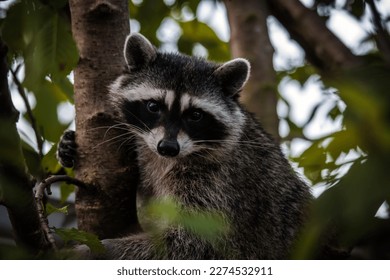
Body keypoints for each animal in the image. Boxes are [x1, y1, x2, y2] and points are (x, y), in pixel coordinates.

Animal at [58, 33, 312, 260]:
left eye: (196, 115)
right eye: (153, 106)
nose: (168, 147)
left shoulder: (221, 183)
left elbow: (192, 243)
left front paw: (99, 250)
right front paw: (67, 146)